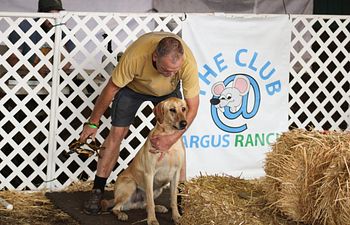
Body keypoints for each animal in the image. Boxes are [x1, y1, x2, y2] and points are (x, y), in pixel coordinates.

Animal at [100, 96, 187, 225]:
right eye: (172, 110)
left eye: (183, 109)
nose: (184, 123)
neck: (168, 137)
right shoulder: (149, 174)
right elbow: (150, 202)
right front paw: (152, 220)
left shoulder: (176, 174)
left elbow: (173, 199)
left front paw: (176, 216)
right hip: (130, 184)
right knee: (116, 207)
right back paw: (121, 214)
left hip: (158, 189)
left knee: (144, 205)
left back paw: (159, 207)